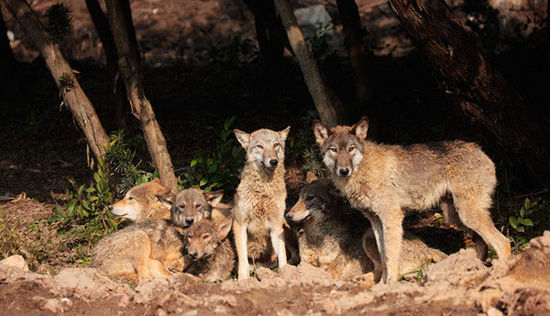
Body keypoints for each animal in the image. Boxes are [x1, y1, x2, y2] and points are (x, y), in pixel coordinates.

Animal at [233, 125, 294, 278]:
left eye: (275, 145)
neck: (263, 190)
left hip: (285, 226)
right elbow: (243, 259)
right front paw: (244, 280)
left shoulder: (276, 225)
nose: (273, 161)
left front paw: (285, 274)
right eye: (260, 146)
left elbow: (283, 255)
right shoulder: (239, 223)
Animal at [314, 116, 512, 284]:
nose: (343, 170)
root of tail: (480, 150)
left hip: (466, 215)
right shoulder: (376, 222)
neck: (363, 170)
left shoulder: (392, 218)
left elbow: (391, 257)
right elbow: (383, 257)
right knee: (485, 242)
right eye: (333, 150)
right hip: (455, 218)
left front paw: (389, 284)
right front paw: (382, 284)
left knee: (503, 242)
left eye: (351, 149)